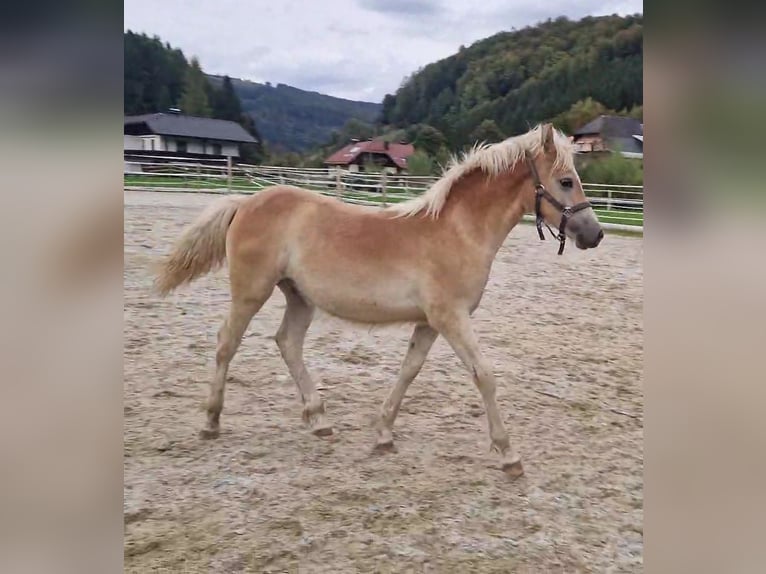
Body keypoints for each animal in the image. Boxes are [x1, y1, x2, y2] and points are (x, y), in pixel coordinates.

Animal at [153, 124, 604, 480]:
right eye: (566, 181)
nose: (595, 234)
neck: (458, 231)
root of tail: (244, 202)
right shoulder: (451, 317)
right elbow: (484, 375)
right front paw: (509, 454)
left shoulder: (429, 322)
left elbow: (409, 371)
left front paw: (384, 433)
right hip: (251, 291)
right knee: (226, 343)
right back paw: (211, 421)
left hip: (298, 296)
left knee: (287, 343)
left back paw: (319, 420)